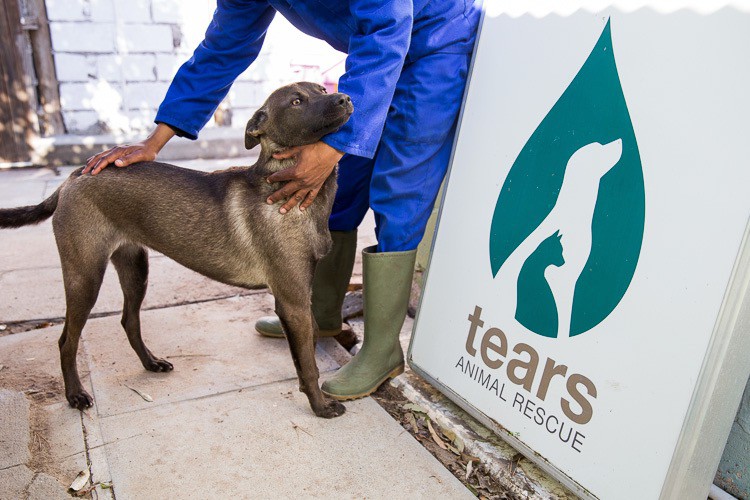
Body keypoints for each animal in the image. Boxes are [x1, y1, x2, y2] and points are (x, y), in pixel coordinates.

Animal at [0, 82, 356, 418]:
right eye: (296, 101)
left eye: (321, 89)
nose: (345, 98)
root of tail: (74, 176)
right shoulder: (292, 302)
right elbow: (307, 364)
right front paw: (320, 407)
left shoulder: (302, 297)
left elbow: (310, 348)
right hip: (85, 277)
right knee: (66, 340)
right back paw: (75, 394)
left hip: (135, 270)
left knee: (129, 321)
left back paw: (150, 363)